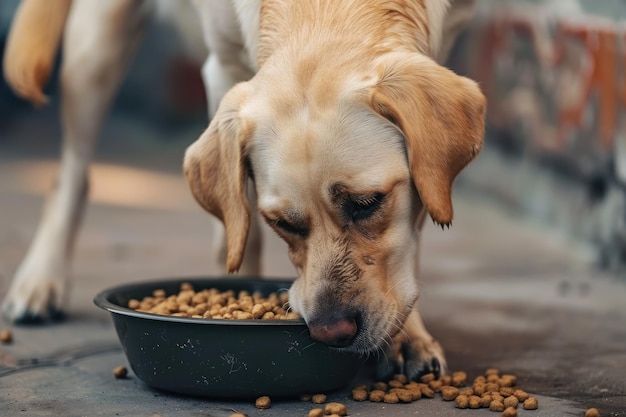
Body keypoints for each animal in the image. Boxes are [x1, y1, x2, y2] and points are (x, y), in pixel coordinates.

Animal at [2, 0, 486, 378]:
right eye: (282, 223)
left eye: (367, 203)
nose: (332, 332)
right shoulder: (222, 70)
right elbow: (240, 229)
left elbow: (412, 234)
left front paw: (408, 336)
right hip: (95, 47)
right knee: (71, 173)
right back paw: (40, 281)